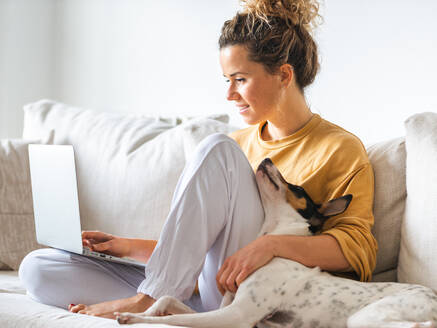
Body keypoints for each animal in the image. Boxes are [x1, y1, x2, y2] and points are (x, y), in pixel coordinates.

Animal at [116, 158, 436, 326]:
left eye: (298, 188)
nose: (267, 159)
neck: (274, 240)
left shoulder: (236, 316)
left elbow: (174, 321)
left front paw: (133, 317)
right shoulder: (226, 307)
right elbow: (166, 300)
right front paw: (143, 310)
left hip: (365, 318)